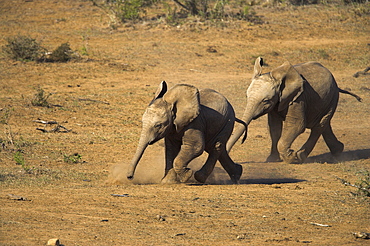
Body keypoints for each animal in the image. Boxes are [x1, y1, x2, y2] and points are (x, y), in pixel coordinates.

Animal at [227, 57, 362, 164]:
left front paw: (291, 157)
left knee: (319, 126)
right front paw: (272, 160)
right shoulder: (277, 102)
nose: (228, 153)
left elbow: (297, 125)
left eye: (265, 101)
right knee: (324, 124)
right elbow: (274, 128)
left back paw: (300, 156)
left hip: (333, 97)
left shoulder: (298, 98)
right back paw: (338, 151)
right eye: (246, 96)